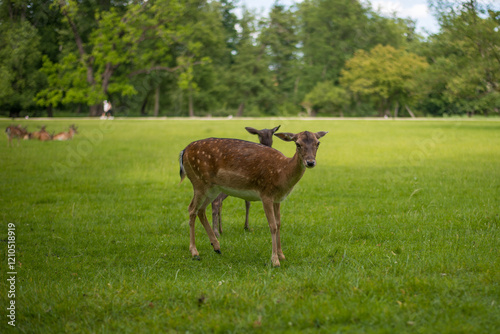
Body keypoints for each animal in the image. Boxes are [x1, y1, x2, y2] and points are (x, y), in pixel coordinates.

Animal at [180, 129, 328, 266]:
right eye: (298, 144)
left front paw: (282, 255)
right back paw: (195, 252)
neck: (282, 173)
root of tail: (183, 151)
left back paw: (216, 247)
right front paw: (275, 261)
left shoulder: (278, 199)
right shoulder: (266, 194)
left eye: (318, 143)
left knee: (201, 210)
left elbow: (279, 224)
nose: (310, 162)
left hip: (212, 188)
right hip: (199, 182)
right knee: (191, 209)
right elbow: (272, 225)